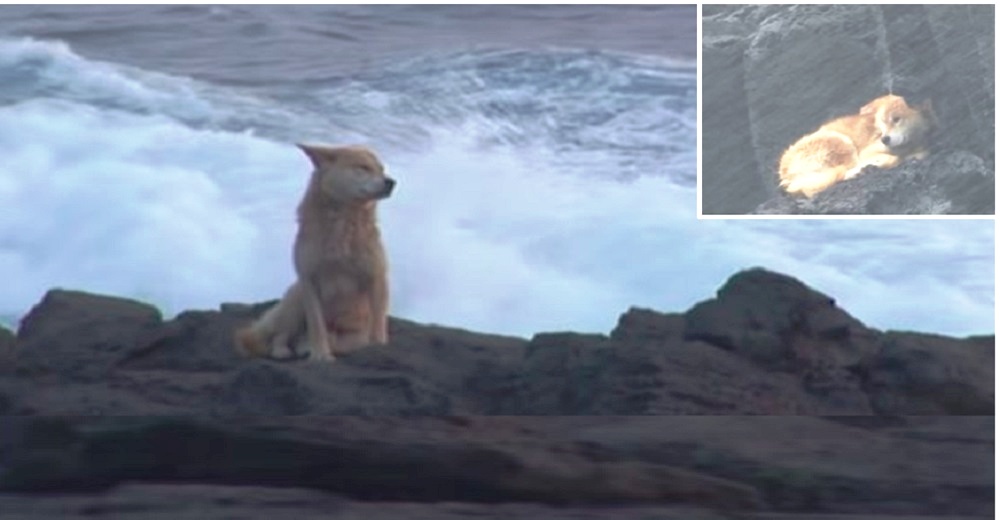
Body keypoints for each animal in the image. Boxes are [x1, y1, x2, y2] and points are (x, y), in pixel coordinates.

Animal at [235, 142, 394, 362]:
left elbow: (377, 323)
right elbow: (316, 325)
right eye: (363, 167)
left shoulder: (376, 277)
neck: (342, 220)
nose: (391, 182)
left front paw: (378, 346)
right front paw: (320, 355)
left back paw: (304, 344)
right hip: (295, 299)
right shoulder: (309, 280)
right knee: (279, 334)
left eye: (381, 170)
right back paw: (284, 349)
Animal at [776, 93, 932, 197]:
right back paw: (861, 170)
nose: (885, 139)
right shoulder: (867, 152)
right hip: (841, 142)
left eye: (896, 119)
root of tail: (785, 171)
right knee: (840, 174)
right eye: (881, 123)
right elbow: (894, 158)